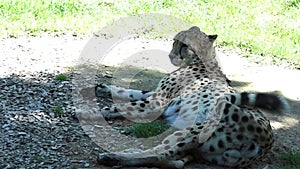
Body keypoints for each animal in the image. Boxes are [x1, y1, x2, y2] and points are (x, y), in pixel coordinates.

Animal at [96, 26, 288, 168]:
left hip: (190, 131)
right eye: (175, 41)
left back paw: (114, 156)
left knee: (160, 153)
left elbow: (122, 106)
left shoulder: (155, 103)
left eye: (183, 45)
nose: (171, 55)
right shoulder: (155, 95)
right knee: (175, 161)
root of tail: (265, 139)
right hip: (206, 151)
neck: (202, 60)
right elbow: (130, 92)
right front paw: (102, 87)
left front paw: (91, 112)